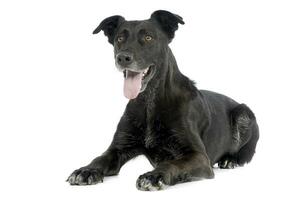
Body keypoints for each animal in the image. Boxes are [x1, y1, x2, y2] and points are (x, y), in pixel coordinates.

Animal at [67, 10, 258, 191]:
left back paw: (230, 160)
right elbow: (99, 158)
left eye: (148, 37)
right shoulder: (118, 148)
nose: (122, 58)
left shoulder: (199, 156)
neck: (149, 102)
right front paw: (86, 170)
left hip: (244, 113)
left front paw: (154, 175)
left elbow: (173, 163)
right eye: (120, 38)